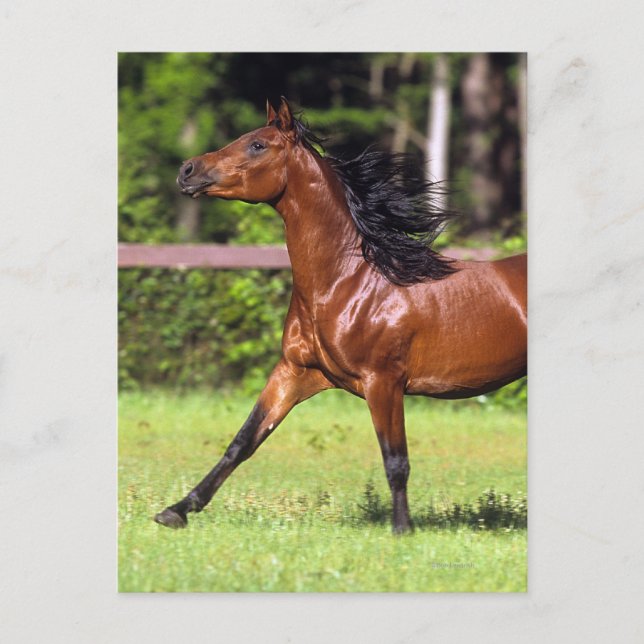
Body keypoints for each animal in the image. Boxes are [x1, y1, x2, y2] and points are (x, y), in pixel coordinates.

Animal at [154, 97, 527, 534]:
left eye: (257, 145)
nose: (187, 170)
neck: (349, 283)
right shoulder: (296, 371)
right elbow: (243, 442)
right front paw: (176, 510)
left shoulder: (383, 382)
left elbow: (396, 461)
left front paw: (402, 530)